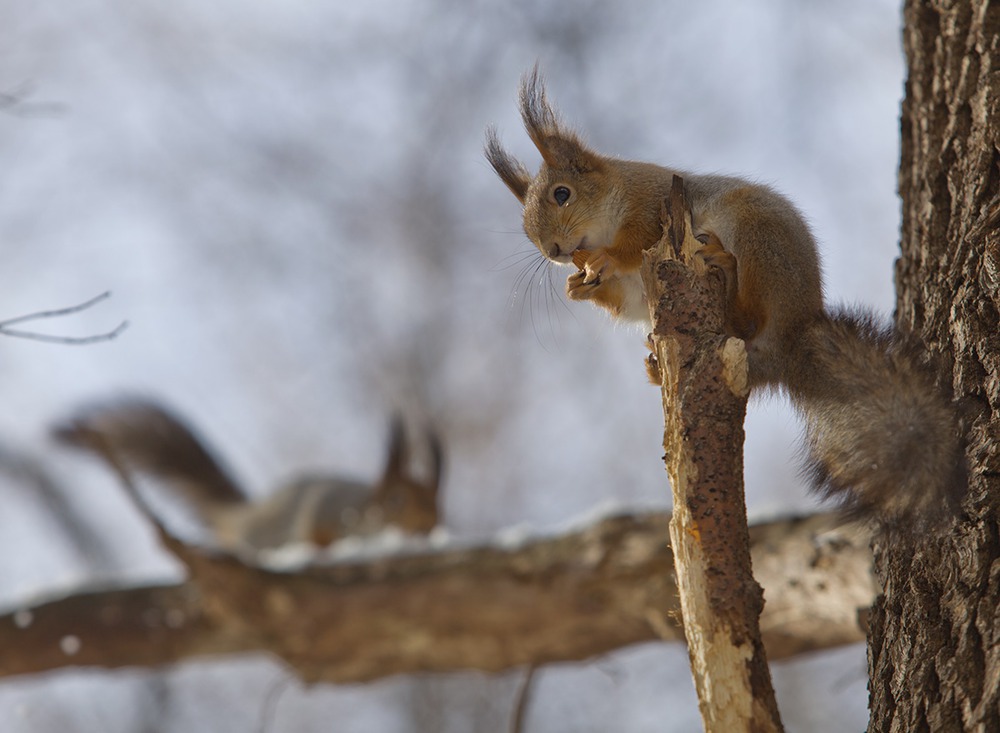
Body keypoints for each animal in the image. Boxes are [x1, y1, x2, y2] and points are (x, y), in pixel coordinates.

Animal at [54, 400, 444, 556]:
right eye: (396, 500)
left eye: (437, 501)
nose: (430, 525)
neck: (363, 511)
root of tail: (242, 516)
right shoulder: (323, 512)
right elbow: (316, 535)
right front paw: (321, 548)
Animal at [488, 67, 964, 528]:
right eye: (527, 229)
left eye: (562, 194)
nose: (553, 251)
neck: (614, 198)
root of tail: (789, 343)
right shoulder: (636, 287)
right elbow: (624, 297)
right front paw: (580, 286)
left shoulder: (652, 207)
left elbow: (633, 243)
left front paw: (603, 259)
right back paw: (657, 365)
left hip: (756, 236)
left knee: (749, 313)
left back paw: (727, 272)